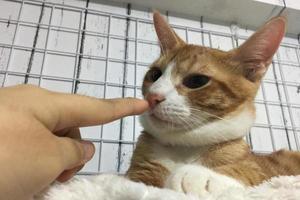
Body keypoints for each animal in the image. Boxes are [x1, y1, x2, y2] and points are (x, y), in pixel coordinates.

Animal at [126, 11, 300, 197]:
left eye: (196, 81)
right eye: (154, 74)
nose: (152, 96)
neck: (184, 146)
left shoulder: (266, 169)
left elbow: (252, 171)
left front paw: (200, 177)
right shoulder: (139, 169)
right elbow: (140, 182)